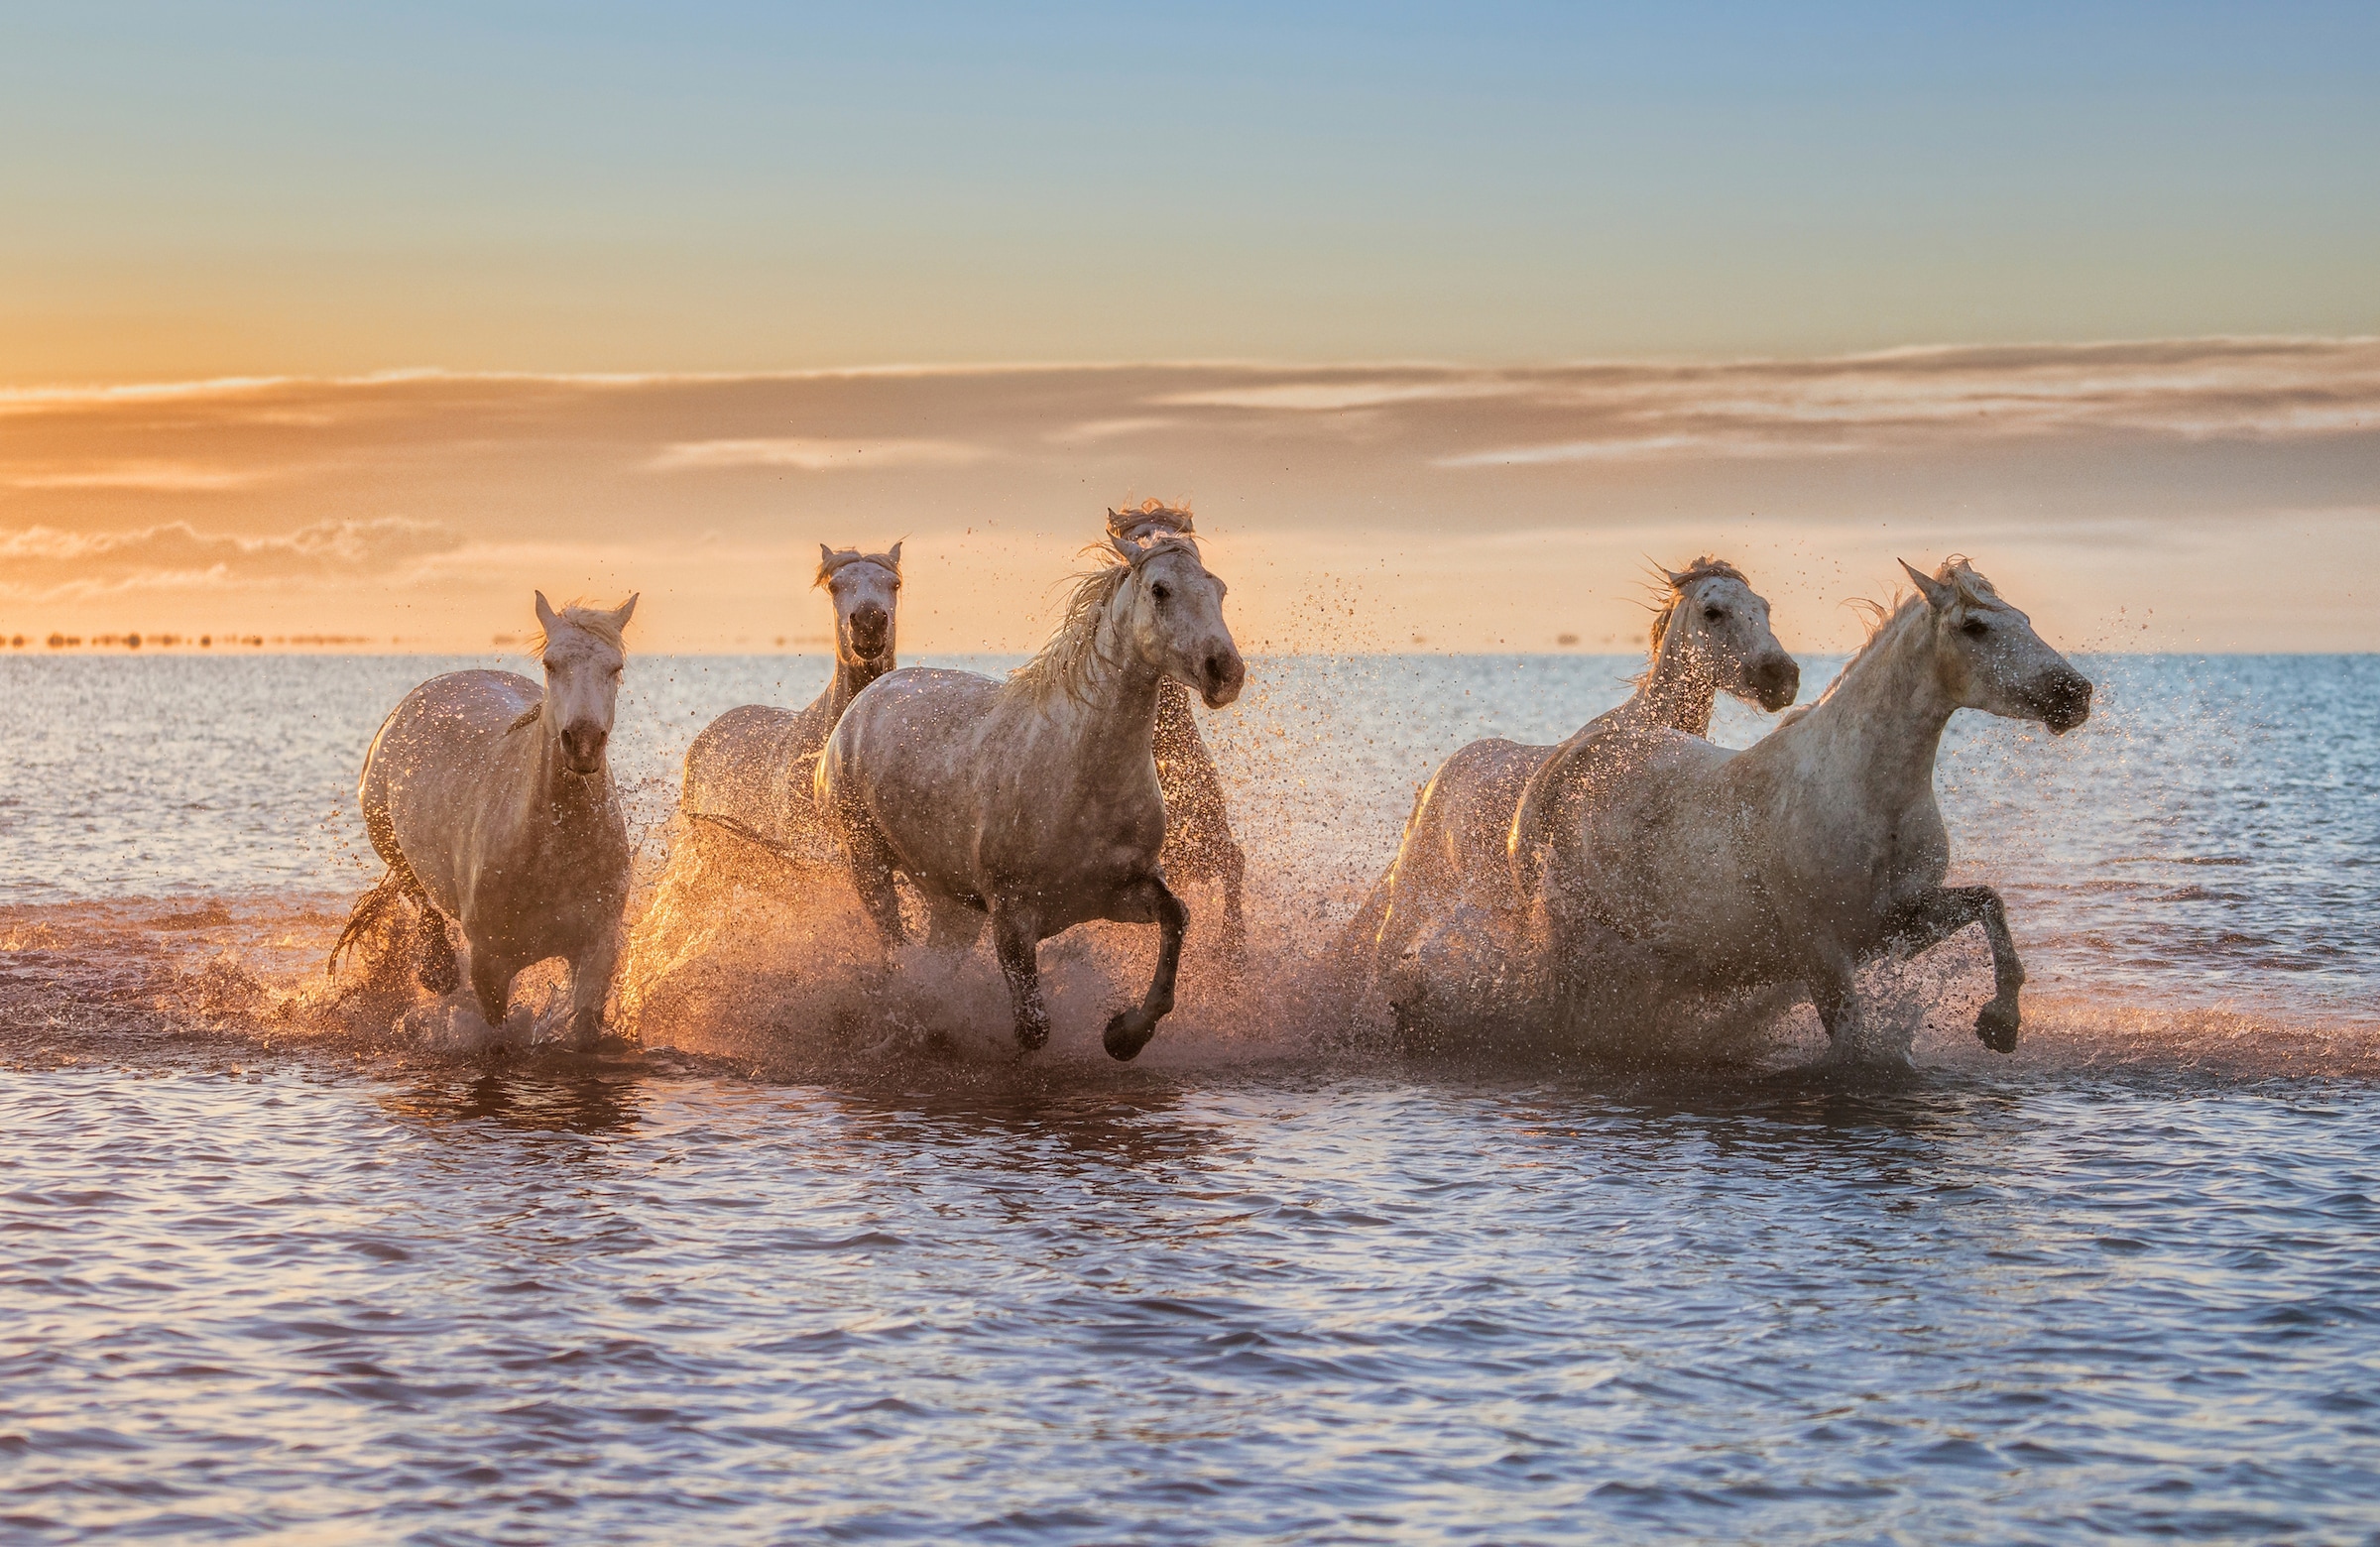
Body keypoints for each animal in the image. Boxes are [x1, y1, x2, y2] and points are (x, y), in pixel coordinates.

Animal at [330, 590, 643, 1047]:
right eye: (550, 664)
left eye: (615, 668)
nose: (583, 742)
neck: (551, 851)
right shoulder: (490, 964)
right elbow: (497, 1034)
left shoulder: (596, 949)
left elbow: (584, 1026)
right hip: (386, 837)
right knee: (415, 889)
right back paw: (438, 969)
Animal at [818, 524, 1247, 1051]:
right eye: (1160, 590)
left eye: (1219, 589)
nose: (1225, 672)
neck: (1079, 777)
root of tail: (864, 701)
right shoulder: (1010, 916)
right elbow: (1033, 1028)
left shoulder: (1120, 891)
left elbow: (1177, 918)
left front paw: (1124, 1034)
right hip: (868, 862)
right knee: (896, 948)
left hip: (952, 902)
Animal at [1352, 554, 1789, 1037]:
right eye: (1713, 612)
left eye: (1765, 608)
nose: (1782, 676)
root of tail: (1438, 777)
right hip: (1417, 891)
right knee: (1381, 954)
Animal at [1523, 554, 2084, 1061]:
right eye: (1975, 626)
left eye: (2025, 619)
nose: (2075, 692)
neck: (1865, 796)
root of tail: (1567, 755)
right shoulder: (1821, 950)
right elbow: (1850, 1044)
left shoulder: (1895, 924)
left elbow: (1989, 902)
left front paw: (2000, 1024)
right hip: (1569, 935)